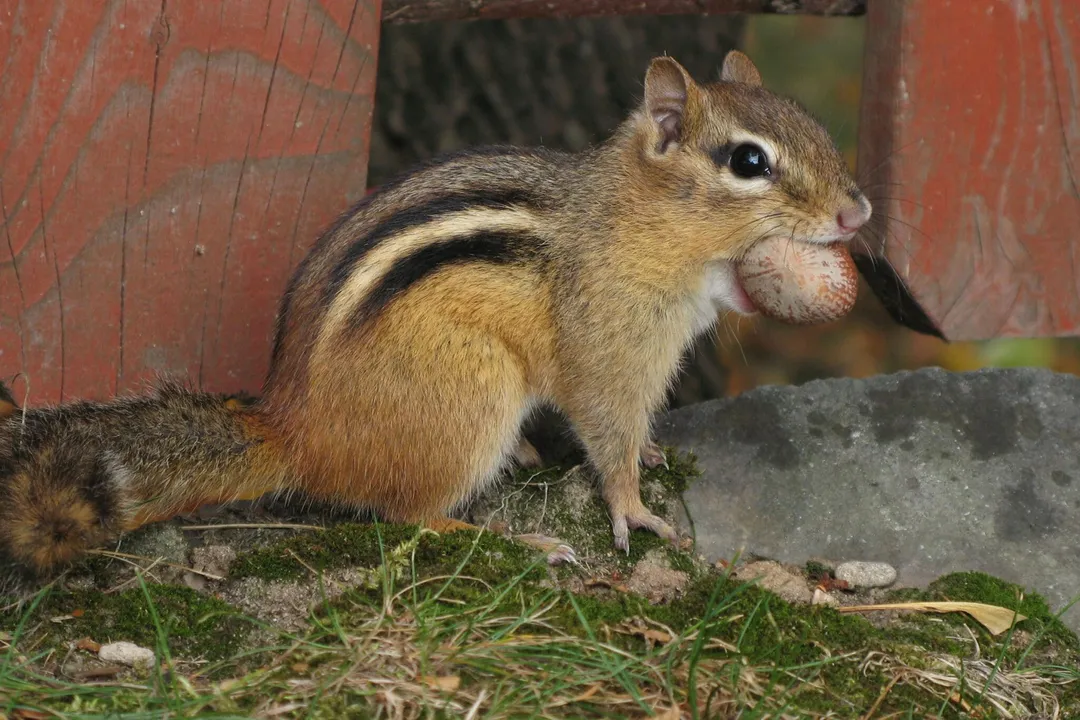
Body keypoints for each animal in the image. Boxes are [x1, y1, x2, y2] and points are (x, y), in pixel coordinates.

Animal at [0, 51, 870, 584]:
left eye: (808, 122)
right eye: (749, 162)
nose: (857, 211)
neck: (630, 223)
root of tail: (295, 428)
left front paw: (653, 456)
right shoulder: (610, 350)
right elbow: (606, 432)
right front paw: (633, 509)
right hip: (471, 392)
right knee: (409, 516)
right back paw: (512, 540)